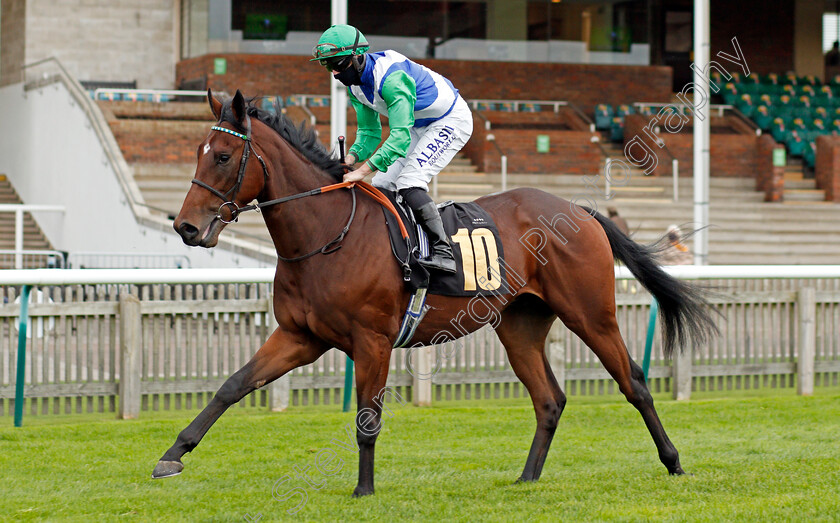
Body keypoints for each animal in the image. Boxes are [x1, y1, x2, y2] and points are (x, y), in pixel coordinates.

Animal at [156, 88, 716, 498]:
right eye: (198, 154)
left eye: (223, 156)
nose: (185, 227)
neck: (327, 233)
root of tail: (579, 210)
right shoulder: (299, 336)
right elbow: (232, 386)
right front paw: (171, 456)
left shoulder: (373, 341)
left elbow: (367, 419)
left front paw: (363, 490)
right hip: (520, 325)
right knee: (549, 399)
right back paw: (527, 478)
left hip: (591, 313)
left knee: (634, 382)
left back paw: (674, 463)